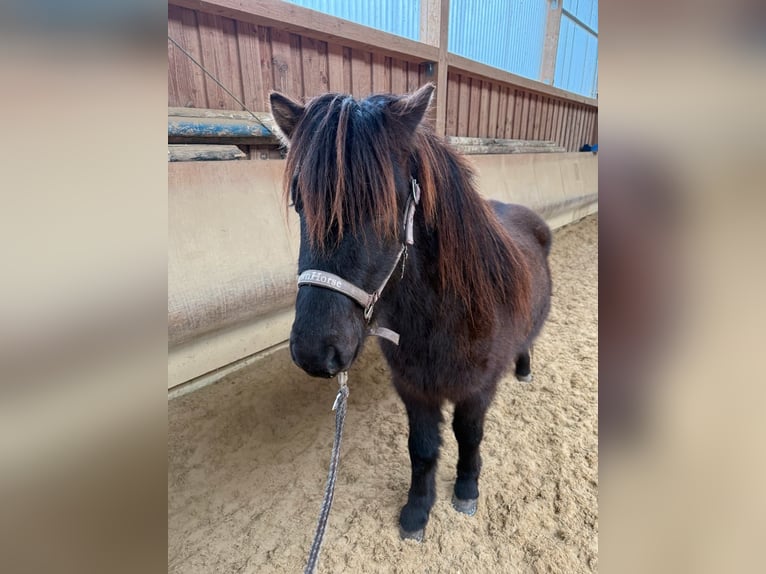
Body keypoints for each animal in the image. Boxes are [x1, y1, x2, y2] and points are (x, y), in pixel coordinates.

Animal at [269, 83, 552, 541]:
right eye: (300, 203)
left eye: (385, 204)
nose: (314, 351)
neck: (439, 318)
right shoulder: (414, 388)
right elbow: (421, 450)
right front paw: (417, 512)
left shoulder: (477, 390)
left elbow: (469, 436)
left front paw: (466, 489)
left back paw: (524, 368)